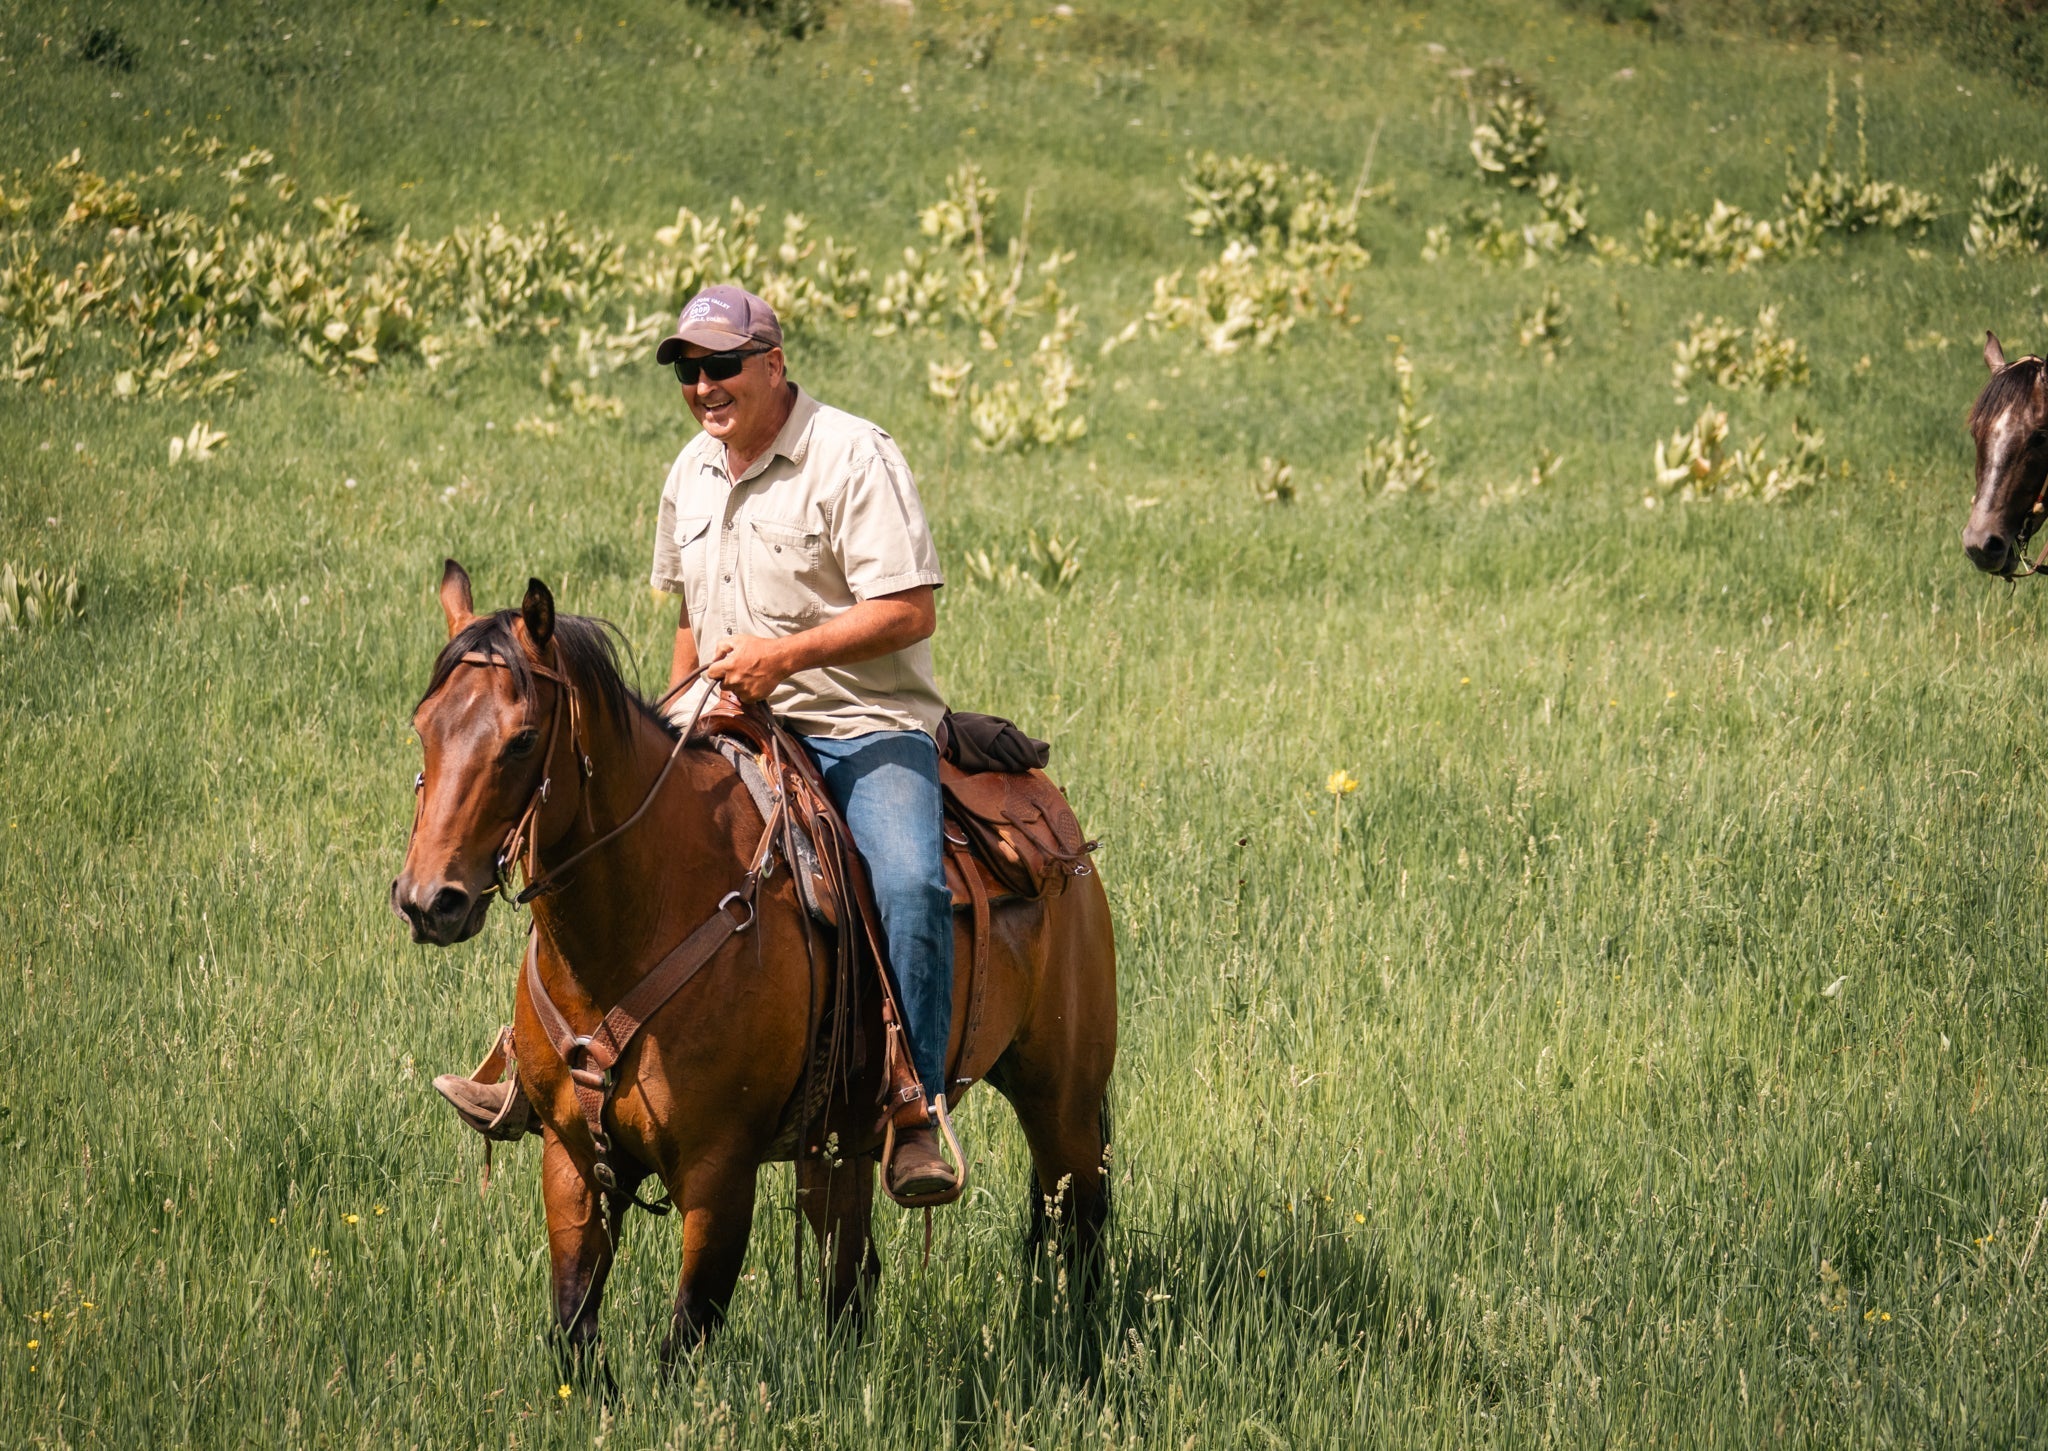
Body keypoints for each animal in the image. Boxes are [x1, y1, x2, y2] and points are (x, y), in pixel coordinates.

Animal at [385, 565, 1122, 1369]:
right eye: (423, 727)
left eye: (521, 741)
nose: (429, 901)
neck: (639, 926)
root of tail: (1055, 818)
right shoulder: (571, 1159)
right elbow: (575, 1328)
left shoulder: (720, 1174)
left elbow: (685, 1339)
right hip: (841, 1144)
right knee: (850, 1274)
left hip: (1063, 1100)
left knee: (1079, 1234)